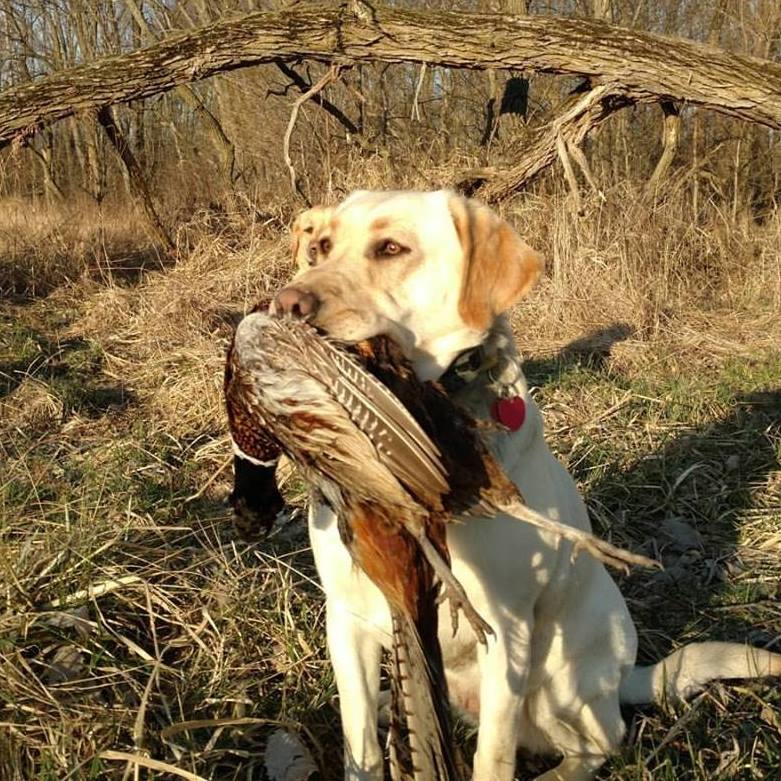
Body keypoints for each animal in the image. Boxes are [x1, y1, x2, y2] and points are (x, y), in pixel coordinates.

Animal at [272, 190, 776, 780]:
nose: (286, 305)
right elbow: (362, 749)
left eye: (392, 248)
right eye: (321, 247)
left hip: (558, 679)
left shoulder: (505, 631)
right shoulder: (347, 619)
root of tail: (627, 676)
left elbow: (492, 758)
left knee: (605, 739)